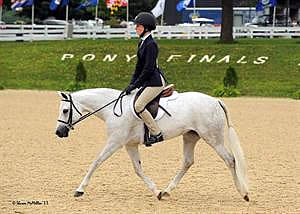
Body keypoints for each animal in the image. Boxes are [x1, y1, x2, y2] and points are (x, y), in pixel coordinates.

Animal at [55, 88, 250, 201]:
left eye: (65, 110)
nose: (59, 132)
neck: (112, 109)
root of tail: (216, 100)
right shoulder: (130, 144)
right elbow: (138, 169)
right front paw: (156, 191)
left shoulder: (115, 141)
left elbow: (97, 161)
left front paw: (80, 189)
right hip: (190, 136)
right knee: (188, 161)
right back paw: (167, 191)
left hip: (212, 138)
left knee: (230, 160)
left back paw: (244, 193)